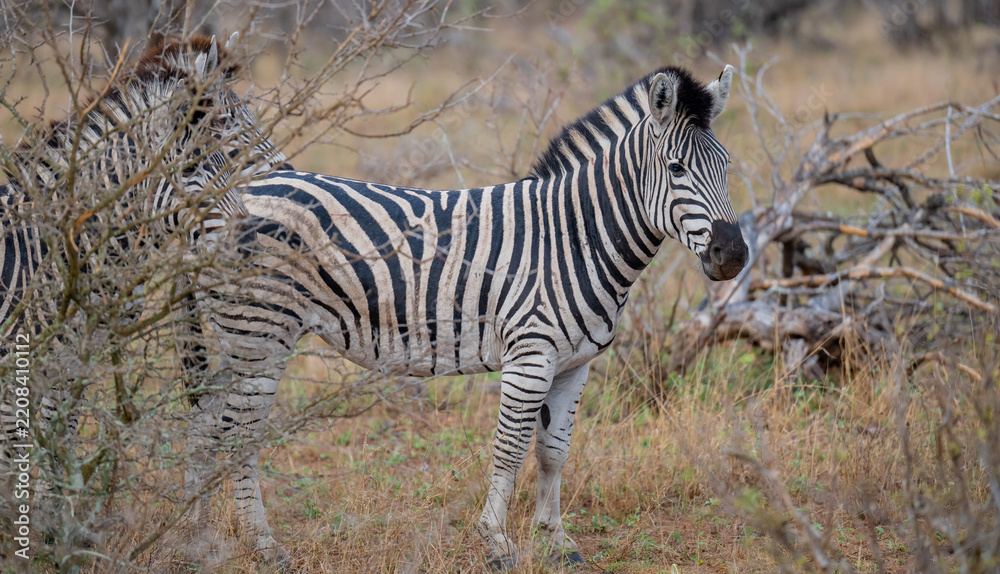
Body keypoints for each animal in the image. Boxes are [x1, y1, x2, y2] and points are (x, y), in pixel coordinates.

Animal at [188, 64, 747, 568]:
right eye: (676, 169)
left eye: (726, 166)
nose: (734, 255)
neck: (574, 237)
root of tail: (232, 189)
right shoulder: (530, 356)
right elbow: (510, 449)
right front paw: (497, 543)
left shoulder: (575, 364)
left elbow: (553, 452)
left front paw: (557, 541)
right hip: (262, 331)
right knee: (237, 434)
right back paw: (263, 546)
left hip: (234, 334)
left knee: (204, 422)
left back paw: (195, 532)